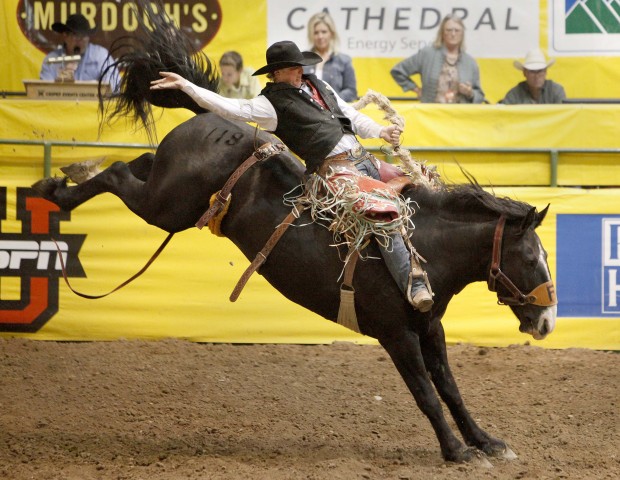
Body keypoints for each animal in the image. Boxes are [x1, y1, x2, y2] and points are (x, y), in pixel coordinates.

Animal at [31, 1, 560, 464]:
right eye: (531, 258)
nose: (547, 322)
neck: (424, 248)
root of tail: (214, 119)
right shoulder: (396, 333)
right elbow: (426, 394)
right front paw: (457, 451)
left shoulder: (430, 328)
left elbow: (450, 388)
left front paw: (487, 442)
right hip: (166, 207)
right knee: (120, 172)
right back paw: (56, 187)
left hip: (168, 191)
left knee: (137, 163)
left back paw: (61, 181)